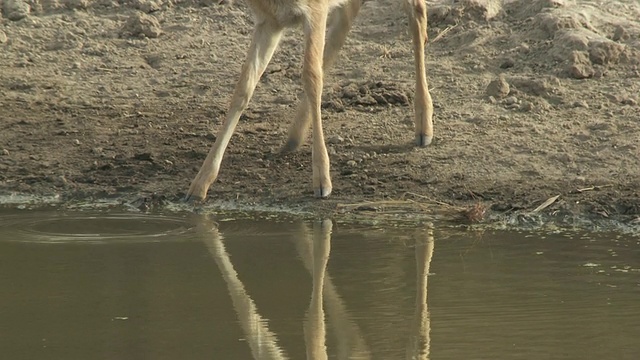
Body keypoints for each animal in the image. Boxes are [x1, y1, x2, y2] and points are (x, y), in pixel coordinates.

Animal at [185, 0, 436, 201]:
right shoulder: (270, 21)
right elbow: (243, 86)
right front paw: (198, 185)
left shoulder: (314, 10)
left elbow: (312, 78)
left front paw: (322, 182)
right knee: (344, 22)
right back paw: (292, 139)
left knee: (418, 13)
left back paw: (424, 128)